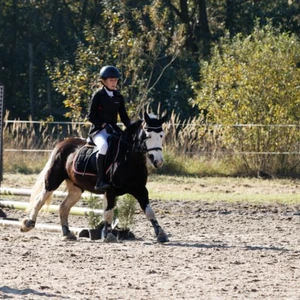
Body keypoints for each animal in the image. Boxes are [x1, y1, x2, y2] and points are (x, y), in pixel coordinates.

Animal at [19, 112, 170, 244]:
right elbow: (108, 213)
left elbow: (150, 212)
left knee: (63, 207)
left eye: (161, 135)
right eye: (147, 136)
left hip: (77, 189)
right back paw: (28, 224)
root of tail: (63, 143)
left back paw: (67, 233)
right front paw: (108, 235)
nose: (158, 161)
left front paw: (161, 234)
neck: (130, 160)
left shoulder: (140, 190)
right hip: (53, 180)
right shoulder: (110, 191)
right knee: (40, 199)